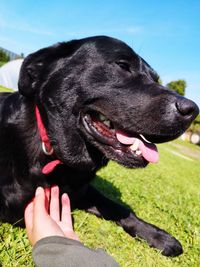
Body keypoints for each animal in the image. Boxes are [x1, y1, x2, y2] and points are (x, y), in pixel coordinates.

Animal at [0, 35, 198, 258]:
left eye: (155, 79)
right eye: (122, 65)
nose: (192, 110)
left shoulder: (82, 190)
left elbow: (119, 208)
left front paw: (159, 236)